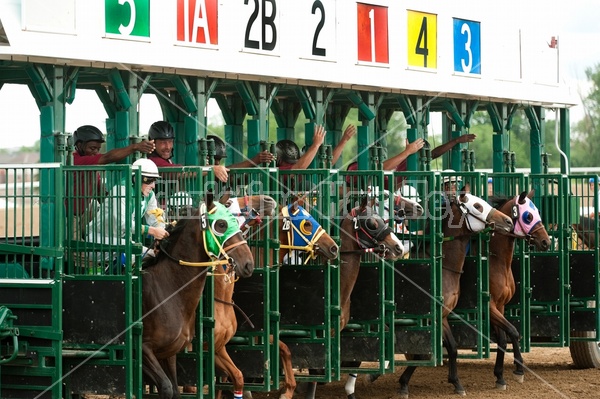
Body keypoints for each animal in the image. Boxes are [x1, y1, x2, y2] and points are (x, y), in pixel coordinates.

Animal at [141, 196, 253, 399]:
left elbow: (237, 376)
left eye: (237, 223)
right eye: (221, 224)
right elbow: (171, 388)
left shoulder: (178, 351)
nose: (248, 263)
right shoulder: (143, 348)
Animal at [396, 187, 512, 399]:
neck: (443, 268)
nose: (508, 221)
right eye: (477, 205)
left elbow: (452, 347)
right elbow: (423, 353)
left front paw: (456, 382)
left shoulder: (444, 315)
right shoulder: (433, 316)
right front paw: (403, 383)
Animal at [488, 191, 548, 390]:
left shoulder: (500, 306)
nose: (546, 241)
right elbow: (513, 331)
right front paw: (519, 369)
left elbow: (502, 339)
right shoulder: (489, 307)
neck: (496, 261)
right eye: (528, 216)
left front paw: (500, 376)